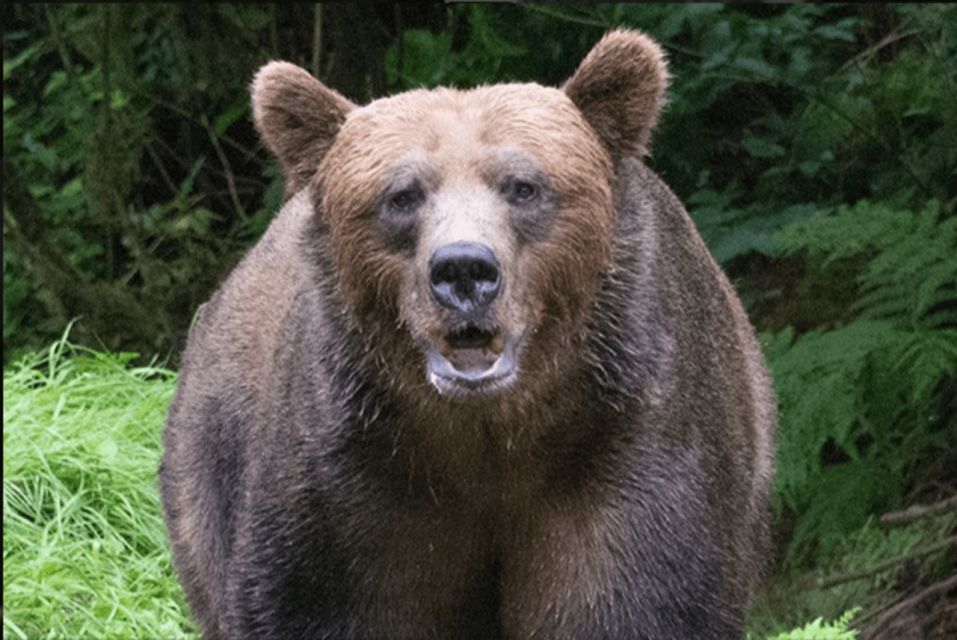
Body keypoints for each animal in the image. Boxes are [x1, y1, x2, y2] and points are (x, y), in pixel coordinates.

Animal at [161, 28, 776, 640]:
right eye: (402, 194)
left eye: (523, 186)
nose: (463, 269)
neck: (488, 431)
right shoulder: (351, 473)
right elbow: (323, 599)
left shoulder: (625, 437)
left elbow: (632, 601)